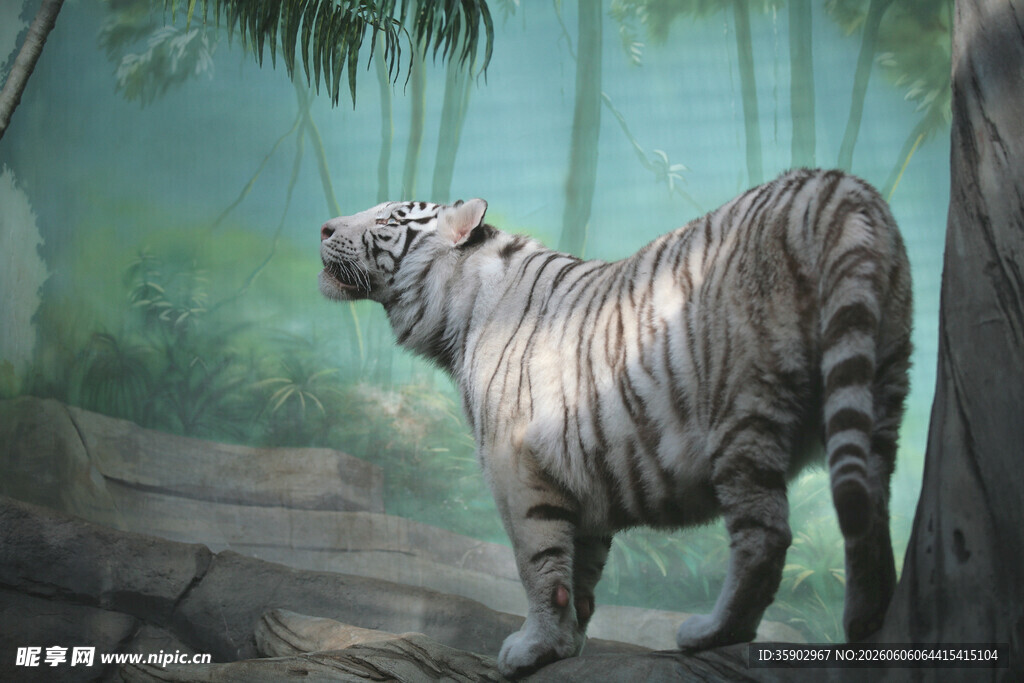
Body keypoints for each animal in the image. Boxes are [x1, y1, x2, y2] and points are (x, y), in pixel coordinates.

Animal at [318, 168, 912, 678]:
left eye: (390, 218)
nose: (323, 227)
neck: (456, 313)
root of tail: (836, 185)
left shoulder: (515, 465)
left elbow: (537, 562)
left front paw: (531, 649)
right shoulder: (580, 471)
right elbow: (582, 569)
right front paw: (567, 644)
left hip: (743, 405)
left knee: (765, 537)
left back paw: (711, 632)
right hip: (882, 387)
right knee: (870, 512)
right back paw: (866, 625)